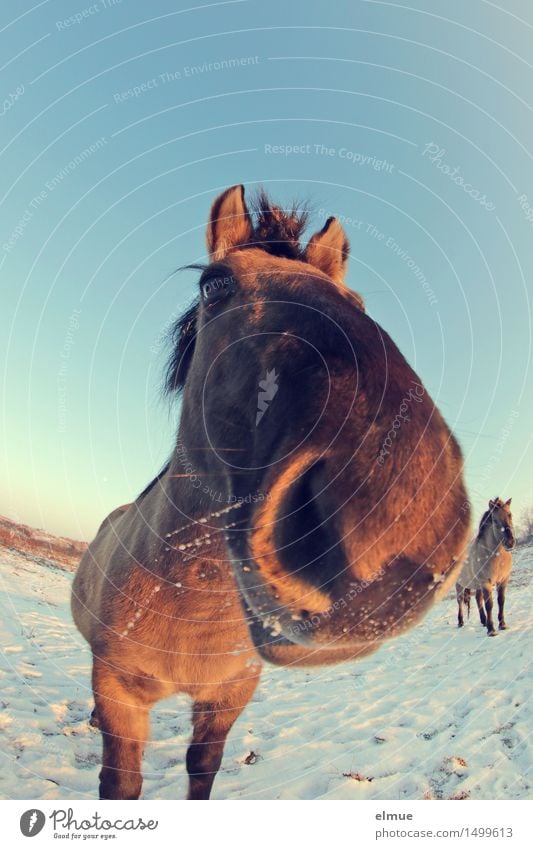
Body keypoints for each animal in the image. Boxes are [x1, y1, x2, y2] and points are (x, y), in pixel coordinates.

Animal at [71, 182, 470, 800]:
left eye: (357, 301)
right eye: (215, 284)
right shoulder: (117, 689)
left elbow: (203, 771)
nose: (395, 516)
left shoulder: (229, 698)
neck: (190, 608)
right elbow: (122, 785)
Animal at [456, 496, 512, 636]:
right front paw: (491, 630)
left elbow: (501, 600)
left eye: (510, 515)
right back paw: (460, 622)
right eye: (495, 521)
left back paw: (483, 621)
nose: (510, 543)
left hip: (477, 585)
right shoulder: (486, 583)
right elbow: (489, 605)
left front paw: (502, 624)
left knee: (477, 599)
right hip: (459, 584)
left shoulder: (504, 580)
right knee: (459, 601)